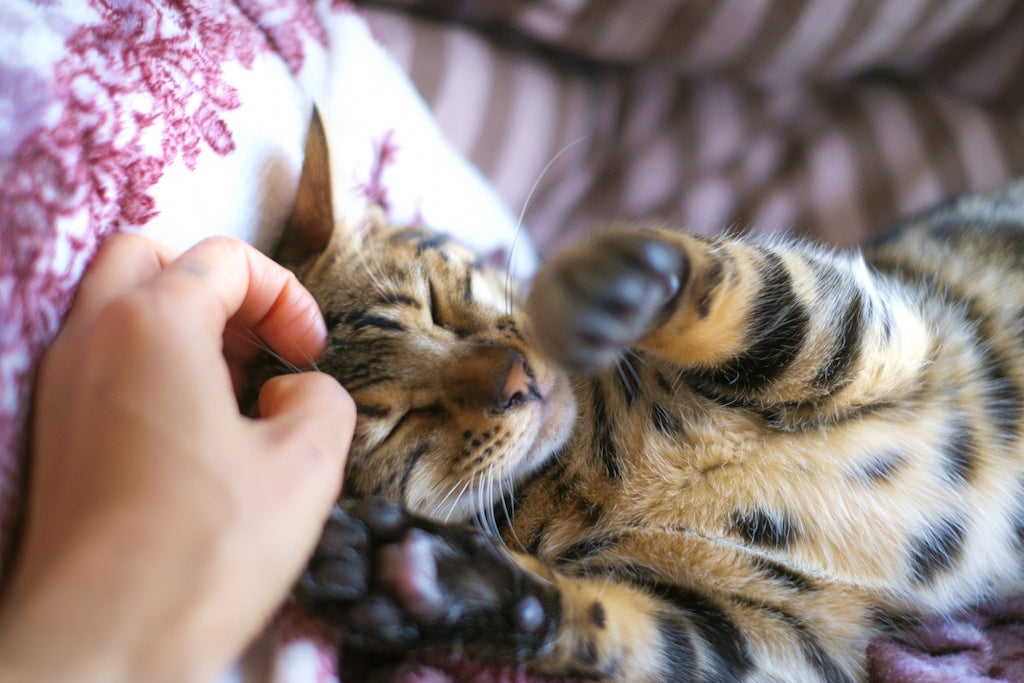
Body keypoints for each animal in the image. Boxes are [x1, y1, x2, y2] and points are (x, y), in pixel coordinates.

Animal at [249, 112, 1024, 683]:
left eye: (438, 306)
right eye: (394, 422)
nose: (516, 379)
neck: (594, 474)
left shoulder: (882, 322)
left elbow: (755, 290)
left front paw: (613, 286)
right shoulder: (764, 631)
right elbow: (612, 623)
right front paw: (432, 579)